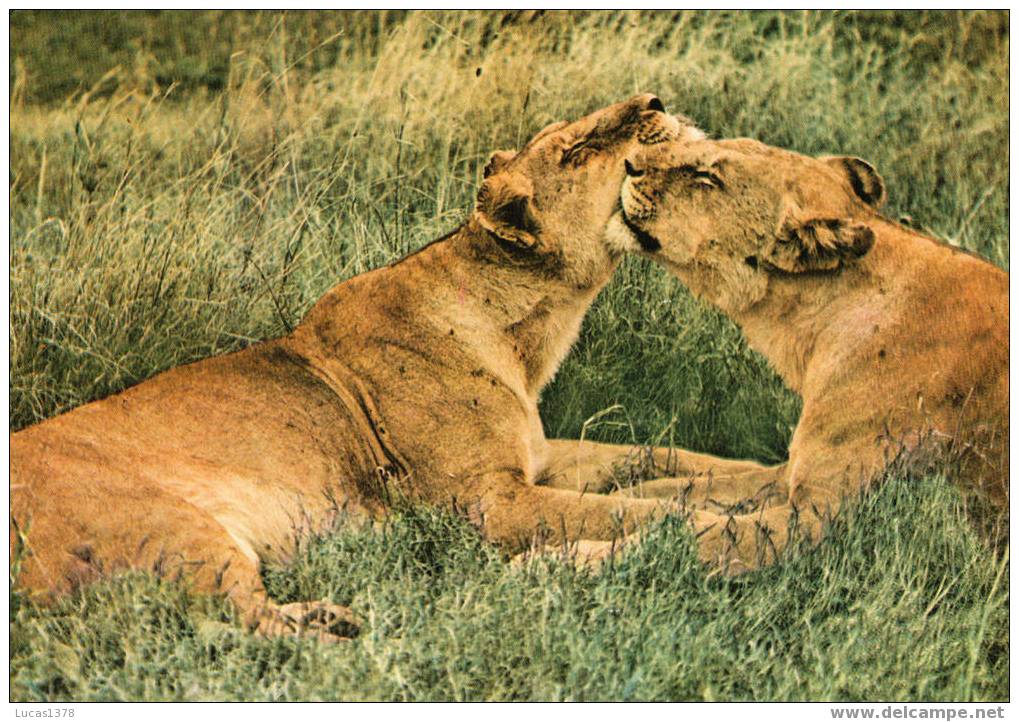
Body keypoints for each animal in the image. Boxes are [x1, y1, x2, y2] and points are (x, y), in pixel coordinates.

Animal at [9, 94, 741, 635]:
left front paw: (751, 483)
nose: (655, 100)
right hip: (172, 525)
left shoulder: (536, 459)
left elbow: (667, 460)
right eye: (577, 151)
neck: (528, 333)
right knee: (244, 630)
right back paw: (342, 624)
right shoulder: (489, 504)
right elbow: (637, 513)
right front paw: (725, 526)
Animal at [603, 133, 1010, 570]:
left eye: (708, 178)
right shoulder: (792, 474)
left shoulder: (822, 516)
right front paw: (623, 493)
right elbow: (692, 488)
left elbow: (701, 534)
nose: (629, 162)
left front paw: (581, 560)